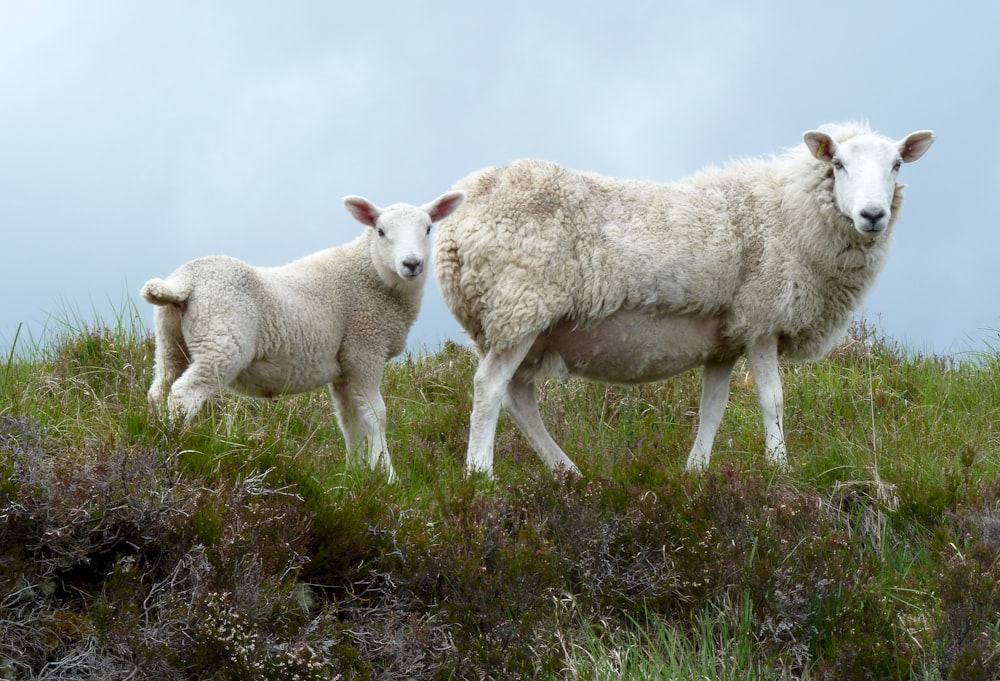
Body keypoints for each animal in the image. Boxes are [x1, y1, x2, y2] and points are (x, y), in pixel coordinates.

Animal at [143, 190, 466, 484]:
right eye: (381, 231)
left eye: (428, 228)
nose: (411, 264)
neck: (372, 276)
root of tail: (185, 281)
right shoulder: (365, 351)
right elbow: (377, 416)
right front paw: (388, 477)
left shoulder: (345, 368)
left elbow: (349, 421)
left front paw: (356, 472)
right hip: (221, 341)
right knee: (184, 394)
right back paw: (177, 444)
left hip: (171, 342)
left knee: (159, 388)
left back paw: (157, 435)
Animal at [438, 119, 936, 476]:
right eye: (838, 165)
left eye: (897, 165)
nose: (873, 214)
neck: (788, 213)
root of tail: (452, 229)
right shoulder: (761, 319)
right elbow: (772, 400)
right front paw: (780, 470)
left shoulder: (725, 340)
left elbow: (711, 410)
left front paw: (695, 473)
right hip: (519, 305)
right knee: (490, 389)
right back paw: (480, 475)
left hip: (519, 326)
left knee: (518, 398)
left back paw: (567, 473)